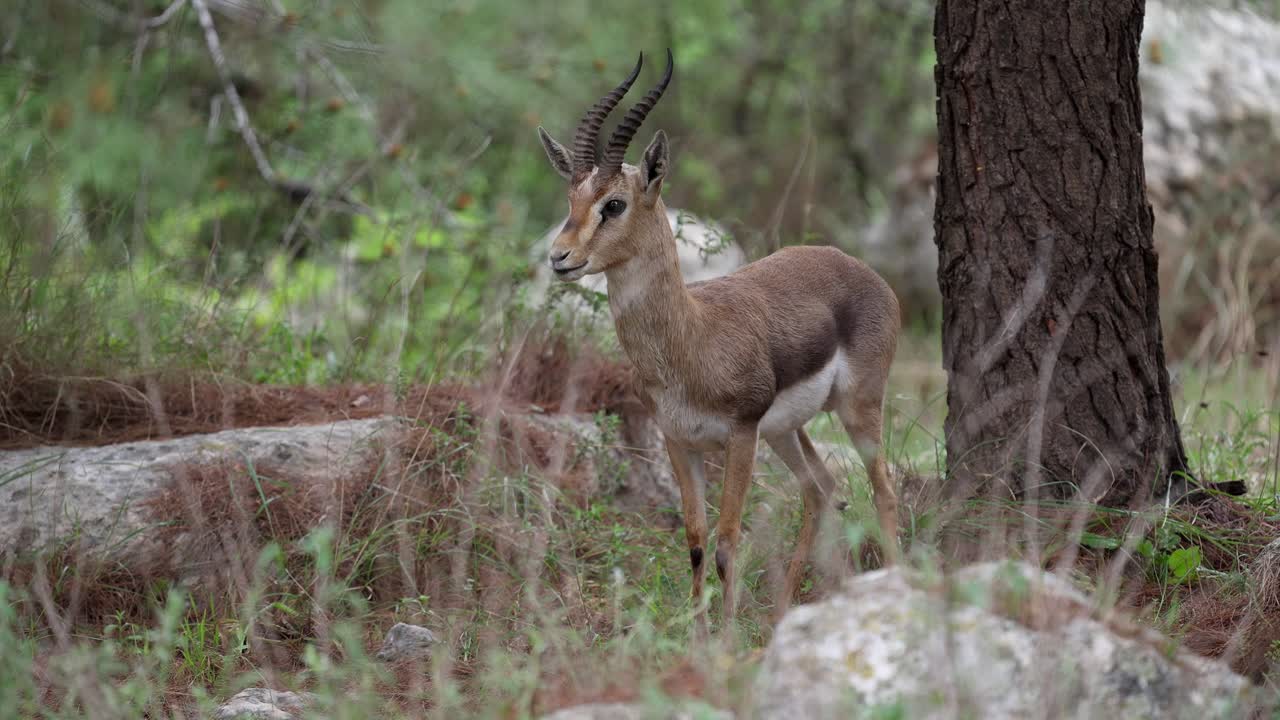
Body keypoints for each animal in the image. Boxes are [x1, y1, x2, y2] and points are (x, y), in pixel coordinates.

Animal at [537, 50, 901, 628]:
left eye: (613, 204)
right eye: (572, 196)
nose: (560, 257)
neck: (691, 338)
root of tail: (858, 268)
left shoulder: (739, 436)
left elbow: (729, 542)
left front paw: (726, 640)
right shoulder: (679, 442)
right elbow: (696, 541)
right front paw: (699, 635)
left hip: (855, 407)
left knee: (882, 491)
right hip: (786, 431)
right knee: (822, 491)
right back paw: (782, 611)